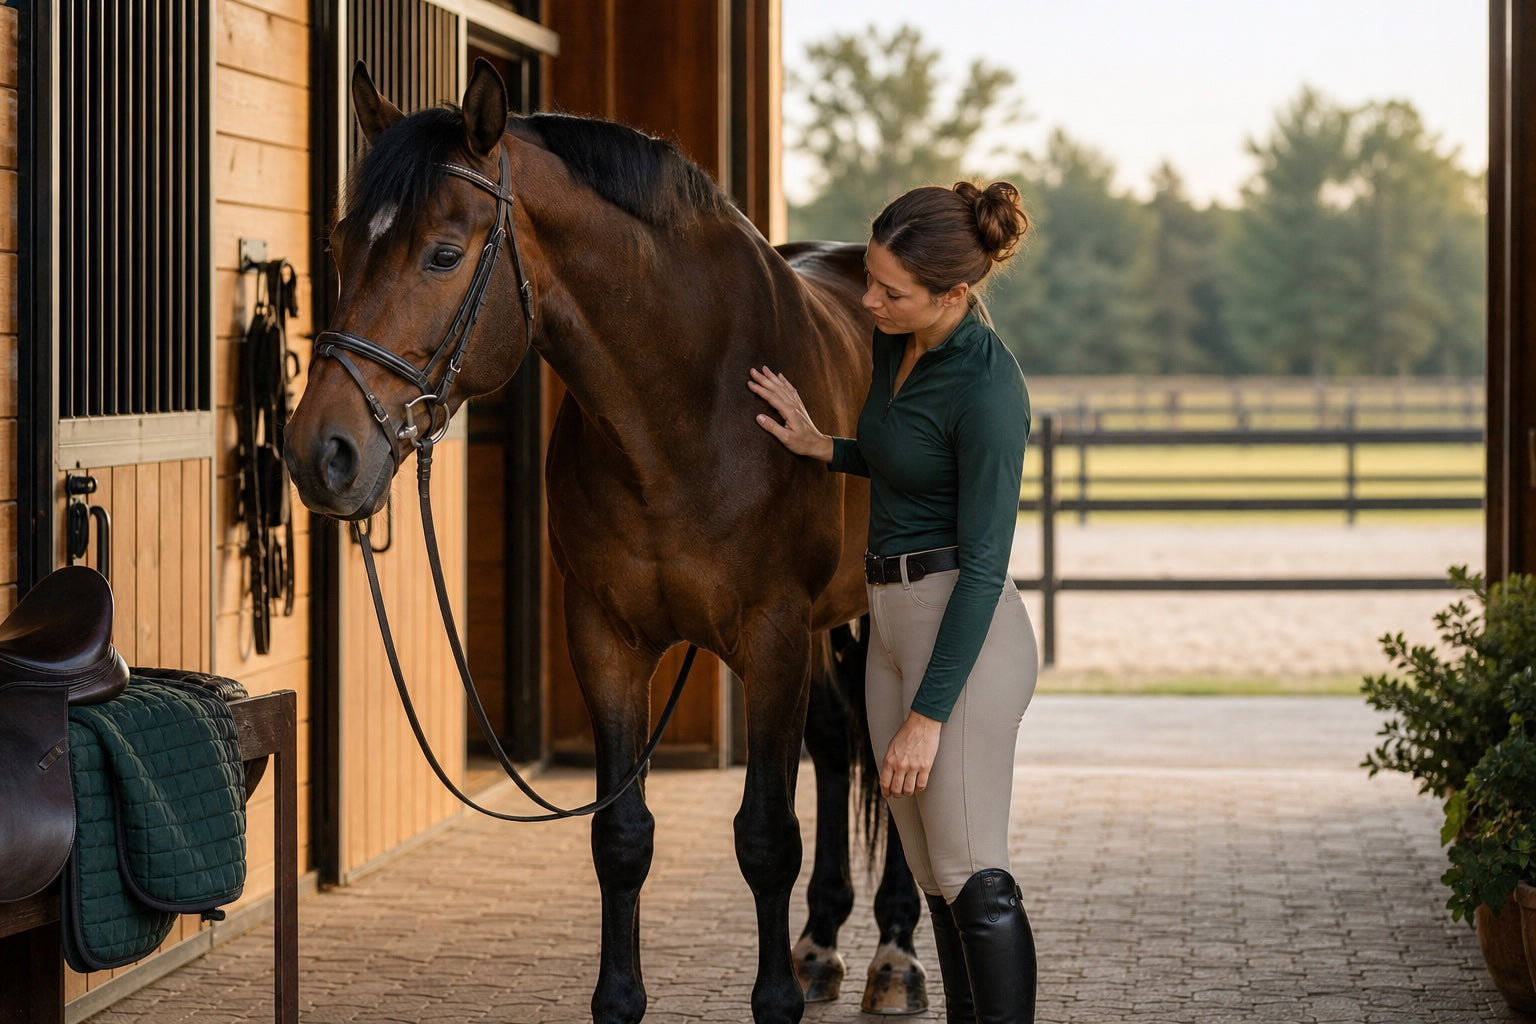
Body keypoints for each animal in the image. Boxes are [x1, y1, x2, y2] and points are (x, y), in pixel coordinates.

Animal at [283, 59, 927, 1023]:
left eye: (444, 254)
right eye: (338, 248)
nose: (320, 454)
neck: (687, 403)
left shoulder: (770, 636)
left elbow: (764, 836)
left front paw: (774, 998)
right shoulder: (607, 640)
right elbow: (621, 837)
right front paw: (621, 1000)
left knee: (892, 754)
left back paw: (894, 955)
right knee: (836, 739)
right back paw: (821, 944)